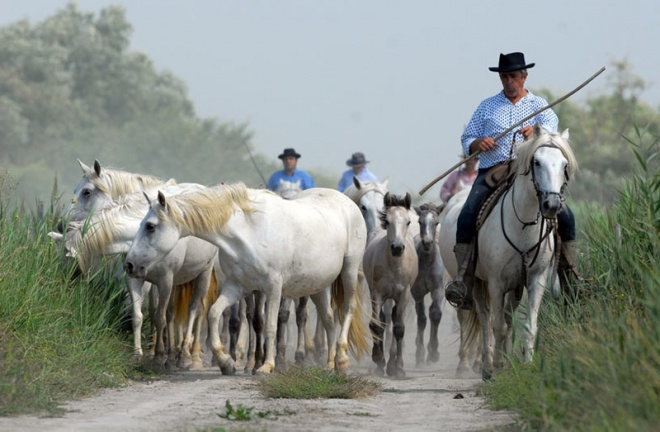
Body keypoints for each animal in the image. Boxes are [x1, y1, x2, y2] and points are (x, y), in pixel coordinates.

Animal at [124, 185, 372, 374]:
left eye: (150, 226)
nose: (130, 265)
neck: (249, 231)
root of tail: (348, 201)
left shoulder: (273, 287)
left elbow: (270, 325)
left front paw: (266, 366)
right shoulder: (237, 287)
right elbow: (214, 314)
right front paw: (226, 362)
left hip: (349, 271)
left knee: (347, 309)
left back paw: (342, 360)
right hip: (317, 286)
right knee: (329, 319)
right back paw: (329, 364)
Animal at [360, 192, 418, 378]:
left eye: (408, 221)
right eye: (388, 221)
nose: (397, 248)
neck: (394, 265)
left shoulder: (404, 295)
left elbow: (399, 328)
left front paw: (398, 368)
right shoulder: (377, 294)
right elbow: (376, 325)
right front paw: (378, 361)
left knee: (392, 320)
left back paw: (392, 364)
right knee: (382, 320)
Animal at [438, 124, 576, 378]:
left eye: (564, 165)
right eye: (537, 162)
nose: (552, 206)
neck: (523, 224)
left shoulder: (535, 279)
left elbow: (528, 325)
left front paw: (525, 365)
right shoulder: (496, 282)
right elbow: (497, 325)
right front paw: (495, 367)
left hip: (514, 286)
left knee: (507, 318)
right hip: (475, 282)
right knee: (484, 318)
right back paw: (485, 364)